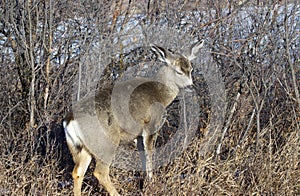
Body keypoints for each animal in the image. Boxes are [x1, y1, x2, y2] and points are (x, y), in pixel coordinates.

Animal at [63, 40, 204, 195]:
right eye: (178, 71)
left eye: (190, 69)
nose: (190, 86)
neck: (160, 94)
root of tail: (70, 121)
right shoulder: (151, 125)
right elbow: (149, 154)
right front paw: (151, 182)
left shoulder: (137, 135)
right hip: (105, 142)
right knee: (100, 172)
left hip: (79, 147)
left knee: (77, 172)